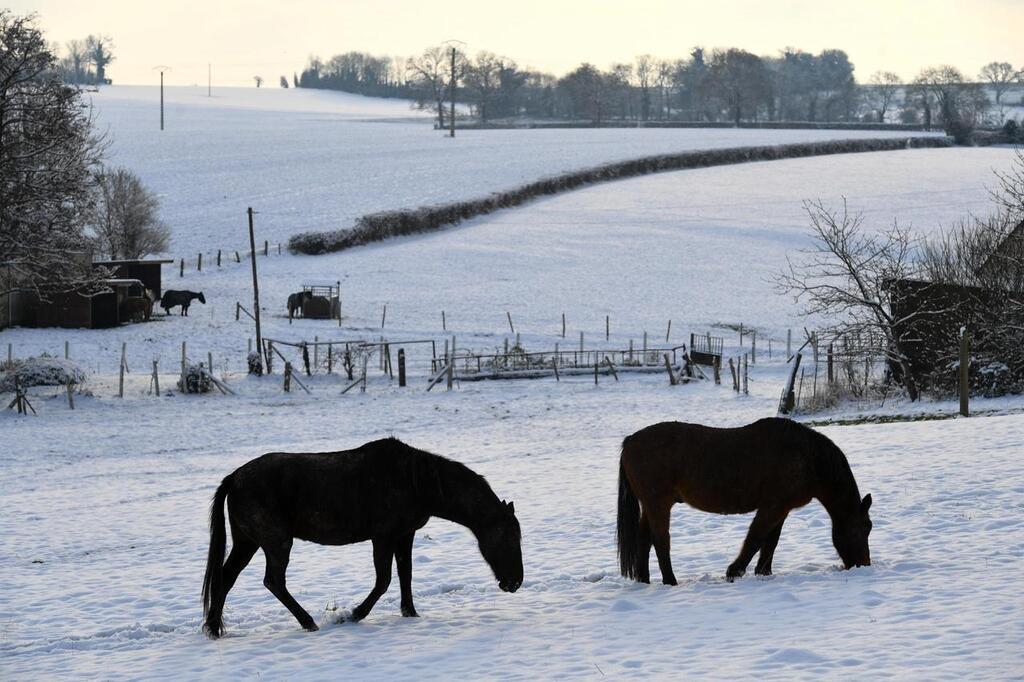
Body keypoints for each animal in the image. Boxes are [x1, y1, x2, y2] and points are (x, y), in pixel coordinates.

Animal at [201, 436, 520, 638]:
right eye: (508, 538)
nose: (515, 582)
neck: (416, 481)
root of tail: (234, 478)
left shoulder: (404, 535)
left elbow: (406, 574)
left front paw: (410, 612)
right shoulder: (383, 537)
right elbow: (384, 580)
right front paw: (353, 614)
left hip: (247, 542)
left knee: (226, 577)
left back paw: (214, 628)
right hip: (276, 542)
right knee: (273, 581)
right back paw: (308, 622)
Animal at [614, 417, 872, 581]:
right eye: (862, 529)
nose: (864, 566)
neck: (807, 458)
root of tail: (630, 441)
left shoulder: (782, 509)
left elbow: (770, 542)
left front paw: (763, 573)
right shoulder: (772, 507)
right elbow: (755, 539)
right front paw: (734, 571)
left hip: (650, 505)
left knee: (644, 541)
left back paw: (644, 580)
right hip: (658, 504)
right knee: (661, 541)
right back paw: (670, 581)